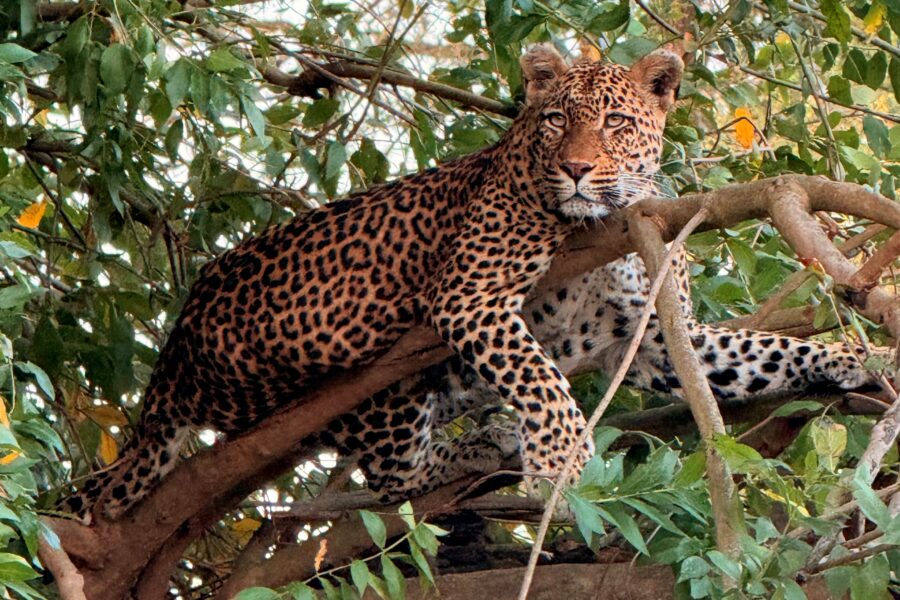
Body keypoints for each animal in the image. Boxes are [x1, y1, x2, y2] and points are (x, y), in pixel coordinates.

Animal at [62, 44, 687, 520]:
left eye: (615, 123)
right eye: (558, 120)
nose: (575, 169)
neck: (609, 223)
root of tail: (170, 365)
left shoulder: (651, 337)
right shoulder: (469, 294)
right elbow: (544, 382)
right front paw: (559, 460)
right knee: (393, 477)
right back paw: (484, 444)